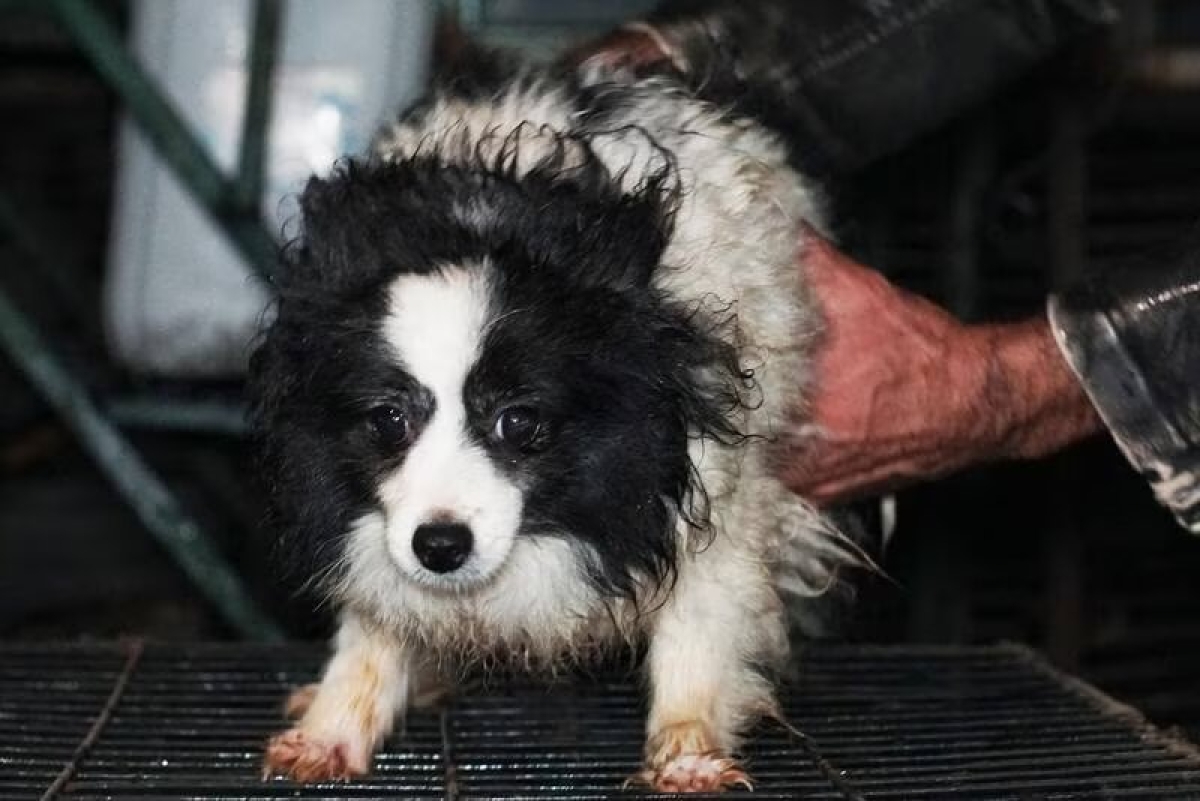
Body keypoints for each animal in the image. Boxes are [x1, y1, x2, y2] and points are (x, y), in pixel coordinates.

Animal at [250, 25, 861, 794]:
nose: (440, 547)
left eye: (519, 423)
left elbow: (701, 619)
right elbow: (373, 625)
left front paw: (687, 749)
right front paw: (332, 728)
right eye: (389, 420)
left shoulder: (714, 482)